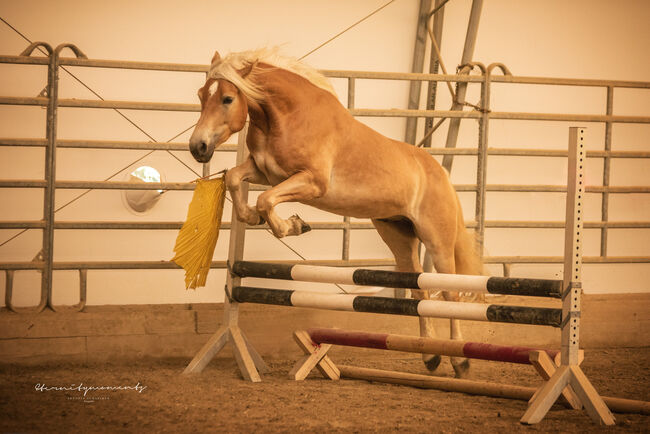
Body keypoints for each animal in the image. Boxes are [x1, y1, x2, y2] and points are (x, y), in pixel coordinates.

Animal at [187, 49, 480, 378]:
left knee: (450, 295)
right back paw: (430, 357)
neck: (286, 116)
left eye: (227, 98)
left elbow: (264, 200)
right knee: (420, 293)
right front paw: (254, 218)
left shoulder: (310, 182)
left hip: (437, 240)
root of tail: (440, 173)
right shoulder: (267, 173)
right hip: (399, 237)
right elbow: (236, 179)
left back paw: (460, 361)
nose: (198, 147)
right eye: (201, 95)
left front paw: (292, 225)